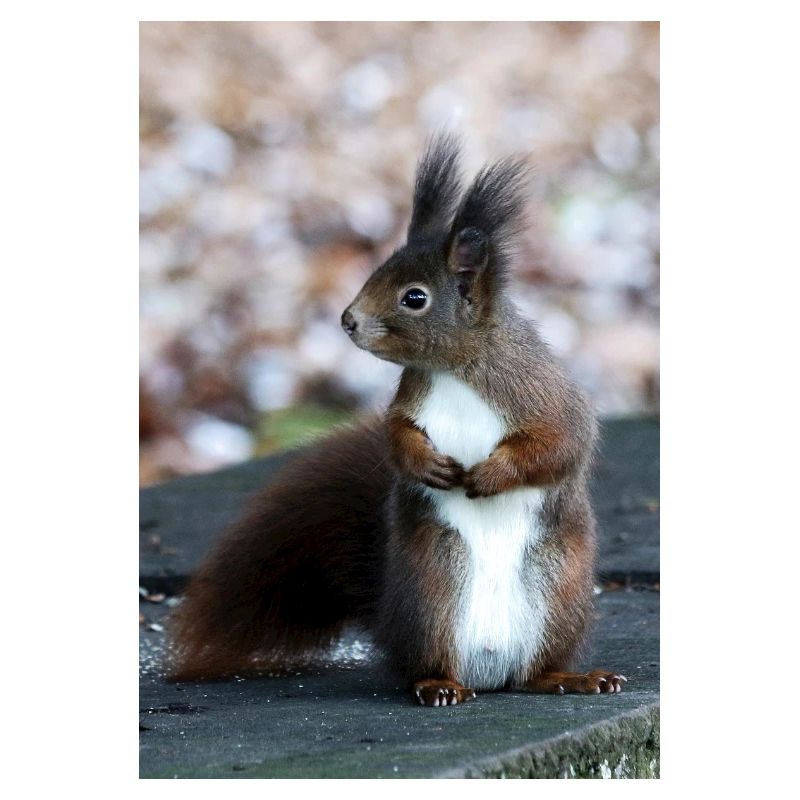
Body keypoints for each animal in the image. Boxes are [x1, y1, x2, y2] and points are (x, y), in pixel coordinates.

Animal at [167, 134, 626, 705]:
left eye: (415, 298)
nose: (347, 320)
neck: (453, 368)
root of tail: (489, 673)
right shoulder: (411, 400)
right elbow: (397, 438)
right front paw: (427, 465)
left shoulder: (542, 393)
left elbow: (560, 443)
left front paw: (491, 473)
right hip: (433, 588)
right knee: (425, 665)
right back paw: (439, 685)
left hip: (557, 590)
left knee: (535, 672)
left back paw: (572, 677)